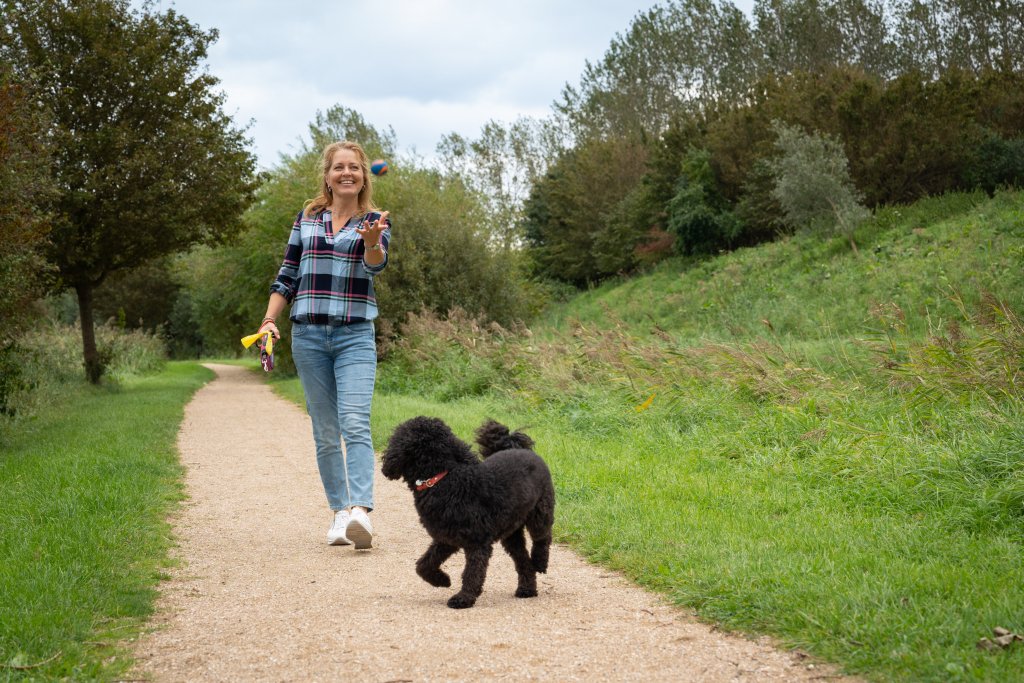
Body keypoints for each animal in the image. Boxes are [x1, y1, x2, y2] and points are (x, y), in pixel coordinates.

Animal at [382, 417, 557, 610]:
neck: (442, 480)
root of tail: (521, 449)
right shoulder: (446, 538)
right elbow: (424, 564)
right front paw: (442, 580)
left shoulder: (477, 542)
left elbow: (472, 573)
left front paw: (463, 598)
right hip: (511, 532)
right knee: (523, 560)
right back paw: (527, 589)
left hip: (540, 512)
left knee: (543, 538)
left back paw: (540, 562)